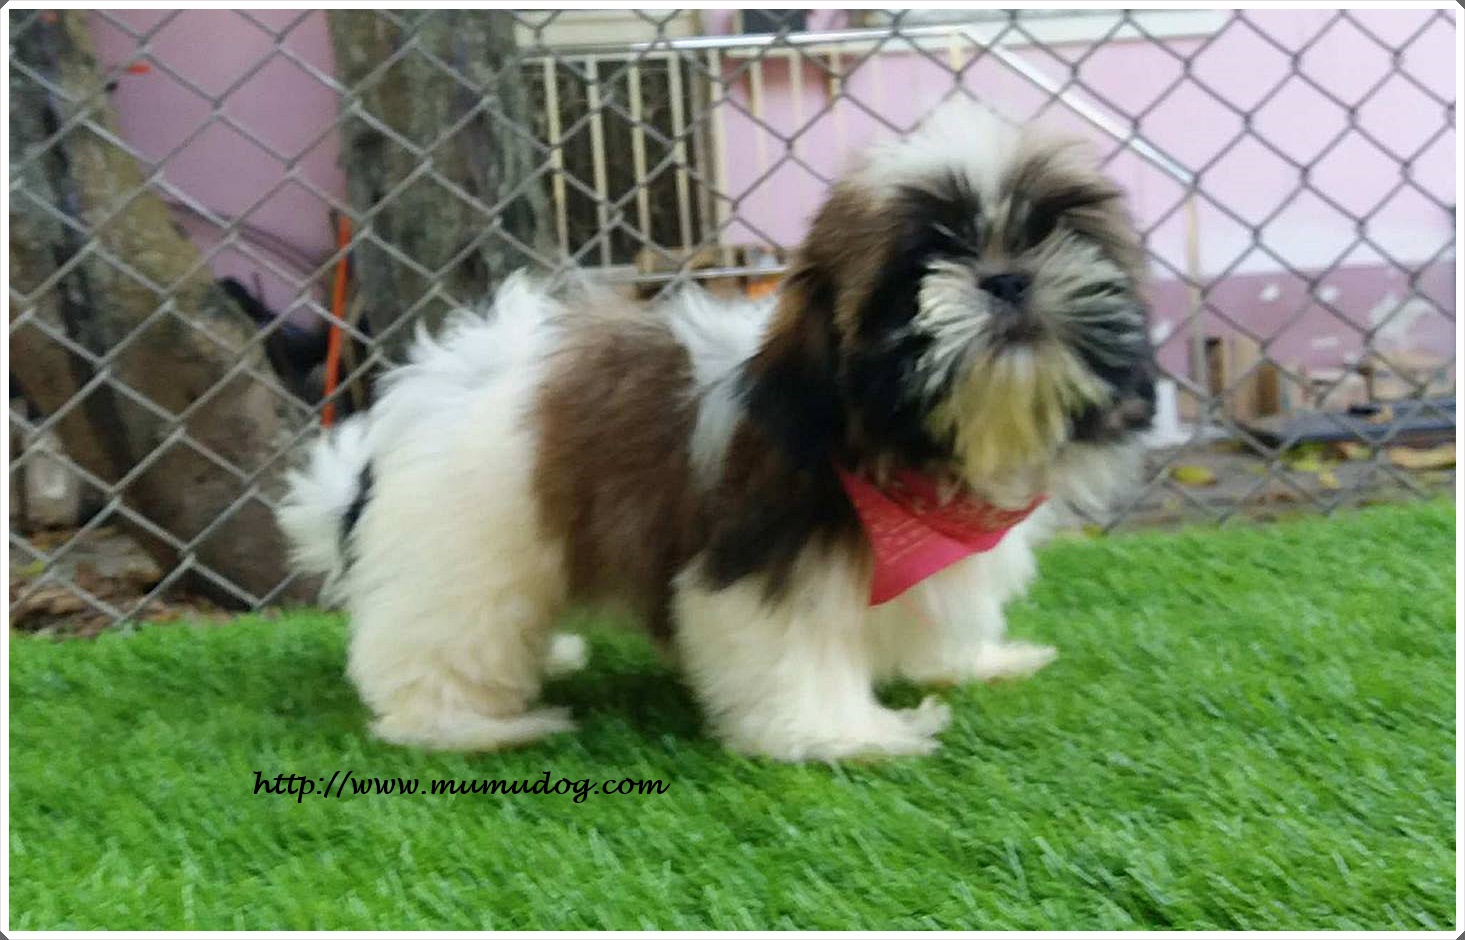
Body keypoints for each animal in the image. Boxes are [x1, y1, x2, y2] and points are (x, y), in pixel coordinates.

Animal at [277, 100, 1156, 761]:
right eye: (921, 265)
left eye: (1058, 237)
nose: (1005, 278)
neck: (903, 453)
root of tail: (408, 404)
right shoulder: (767, 548)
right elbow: (793, 648)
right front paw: (845, 733)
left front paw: (972, 663)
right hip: (463, 549)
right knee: (434, 651)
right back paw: (476, 726)